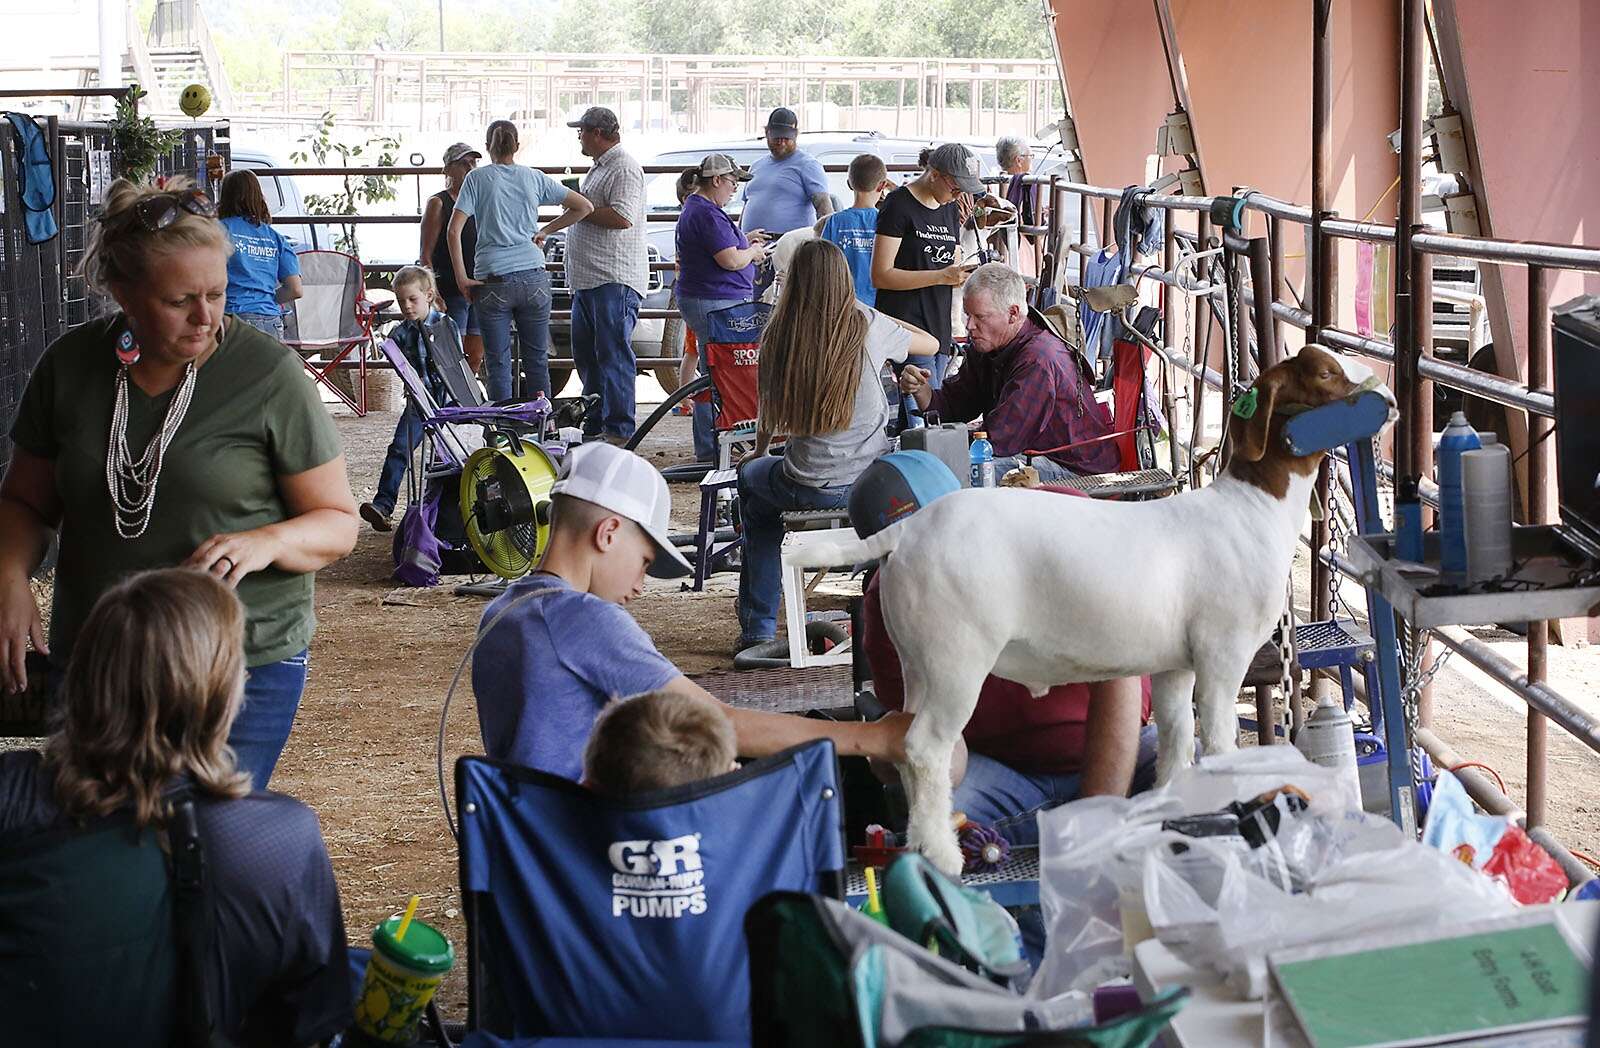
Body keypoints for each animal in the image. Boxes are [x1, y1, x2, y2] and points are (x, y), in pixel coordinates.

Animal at [793, 347, 1395, 876]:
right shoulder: (1222, 657)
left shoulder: (1176, 665)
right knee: (925, 748)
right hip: (954, 662)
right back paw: (941, 856)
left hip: (917, 662)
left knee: (905, 744)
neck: (1250, 509)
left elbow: (1178, 739)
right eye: (1324, 373)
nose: (1383, 391)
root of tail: (910, 529)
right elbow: (1219, 743)